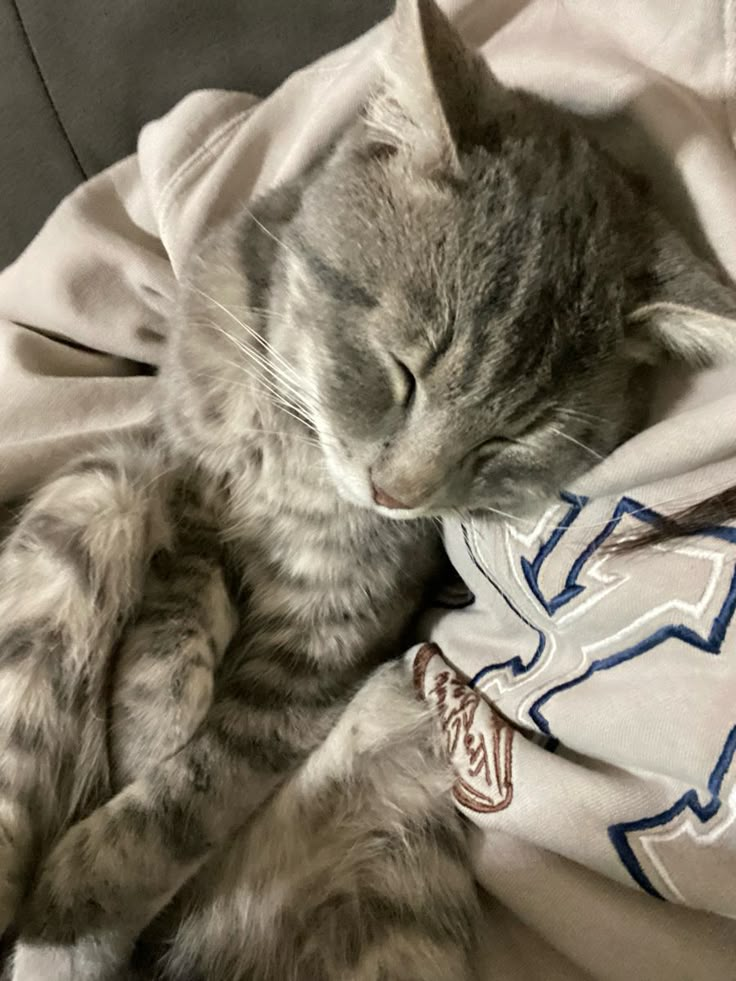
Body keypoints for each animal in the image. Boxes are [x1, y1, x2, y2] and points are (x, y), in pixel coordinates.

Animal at [1, 1, 736, 980]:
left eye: (513, 436)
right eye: (402, 369)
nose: (398, 492)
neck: (293, 448)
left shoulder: (328, 636)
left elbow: (196, 788)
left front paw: (76, 910)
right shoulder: (182, 469)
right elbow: (178, 587)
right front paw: (157, 710)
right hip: (90, 495)